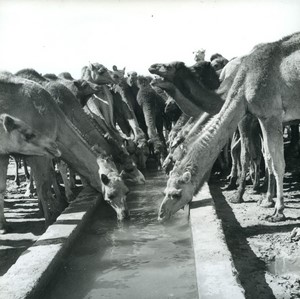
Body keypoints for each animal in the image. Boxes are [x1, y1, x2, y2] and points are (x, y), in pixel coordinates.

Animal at [156, 32, 300, 223]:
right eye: (165, 191)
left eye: (176, 194)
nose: (161, 214)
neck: (243, 85)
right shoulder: (261, 117)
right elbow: (267, 156)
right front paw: (266, 199)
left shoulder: (270, 115)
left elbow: (273, 162)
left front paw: (277, 211)